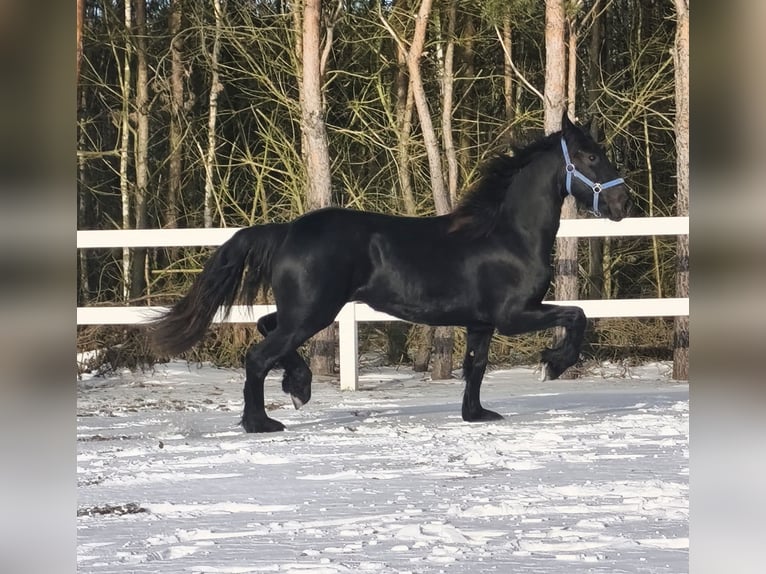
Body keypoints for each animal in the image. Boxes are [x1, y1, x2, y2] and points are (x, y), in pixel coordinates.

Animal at [150, 113, 631, 433]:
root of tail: (287, 230)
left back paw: (298, 386)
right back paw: (262, 421)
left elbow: (475, 367)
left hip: (303, 310)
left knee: (267, 329)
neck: (508, 234)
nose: (621, 203)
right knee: (258, 355)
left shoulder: (481, 323)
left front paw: (477, 414)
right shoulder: (514, 315)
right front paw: (553, 365)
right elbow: (577, 316)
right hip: (313, 312)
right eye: (589, 155)